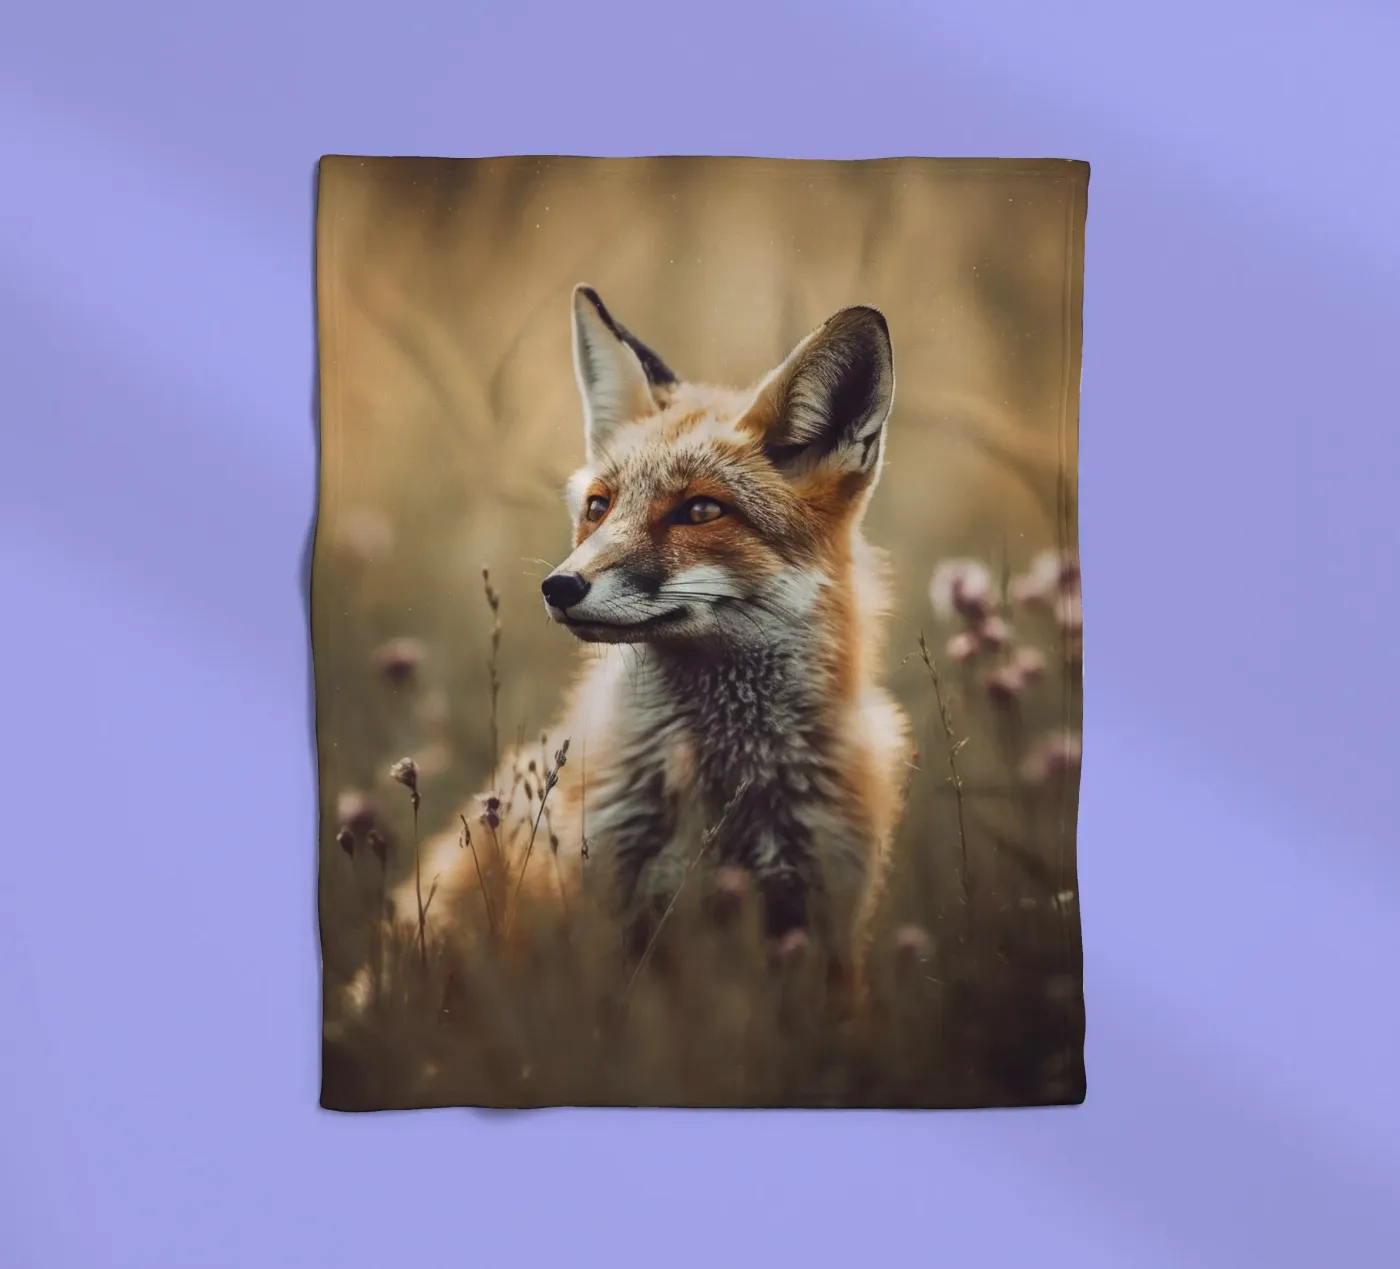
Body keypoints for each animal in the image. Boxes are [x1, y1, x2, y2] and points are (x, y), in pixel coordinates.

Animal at [388, 284, 911, 988]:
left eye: (701, 510)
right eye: (599, 506)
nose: (559, 586)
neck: (729, 790)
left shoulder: (826, 922)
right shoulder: (604, 917)